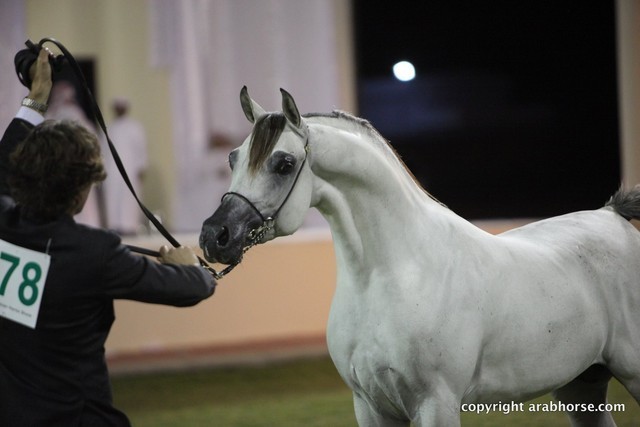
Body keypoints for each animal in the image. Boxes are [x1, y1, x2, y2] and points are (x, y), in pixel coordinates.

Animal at [199, 86, 640, 426]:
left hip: (631, 374)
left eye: (284, 163)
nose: (214, 236)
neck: (392, 274)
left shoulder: (436, 404)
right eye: (233, 158)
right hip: (581, 385)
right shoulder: (371, 407)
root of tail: (612, 215)